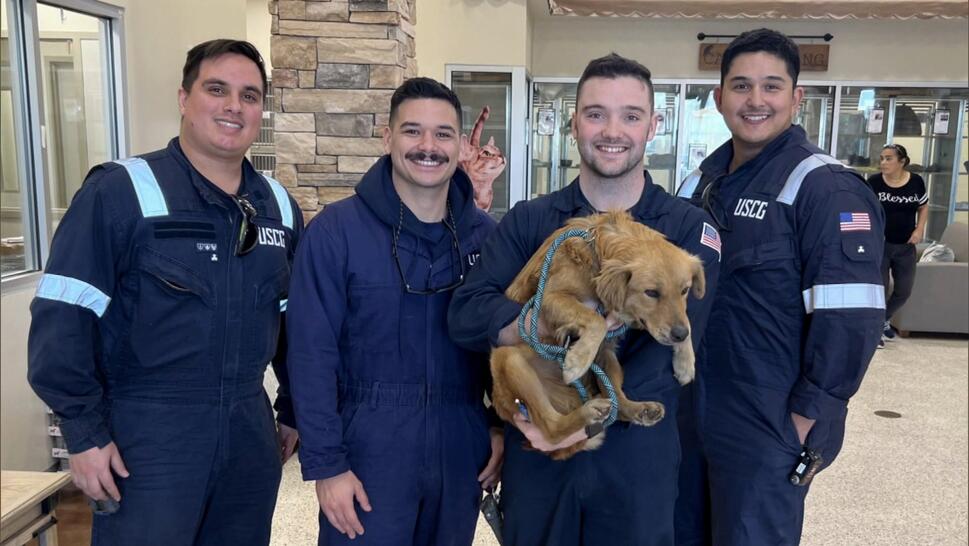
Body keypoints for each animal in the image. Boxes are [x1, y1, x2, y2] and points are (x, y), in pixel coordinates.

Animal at [492, 210, 704, 456]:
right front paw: (577, 361)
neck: (597, 255)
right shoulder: (548, 298)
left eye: (685, 290)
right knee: (552, 428)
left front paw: (686, 363)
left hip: (607, 358)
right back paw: (588, 412)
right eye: (651, 293)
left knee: (617, 403)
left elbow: (686, 318)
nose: (679, 335)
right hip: (508, 358)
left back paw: (640, 409)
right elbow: (597, 320)